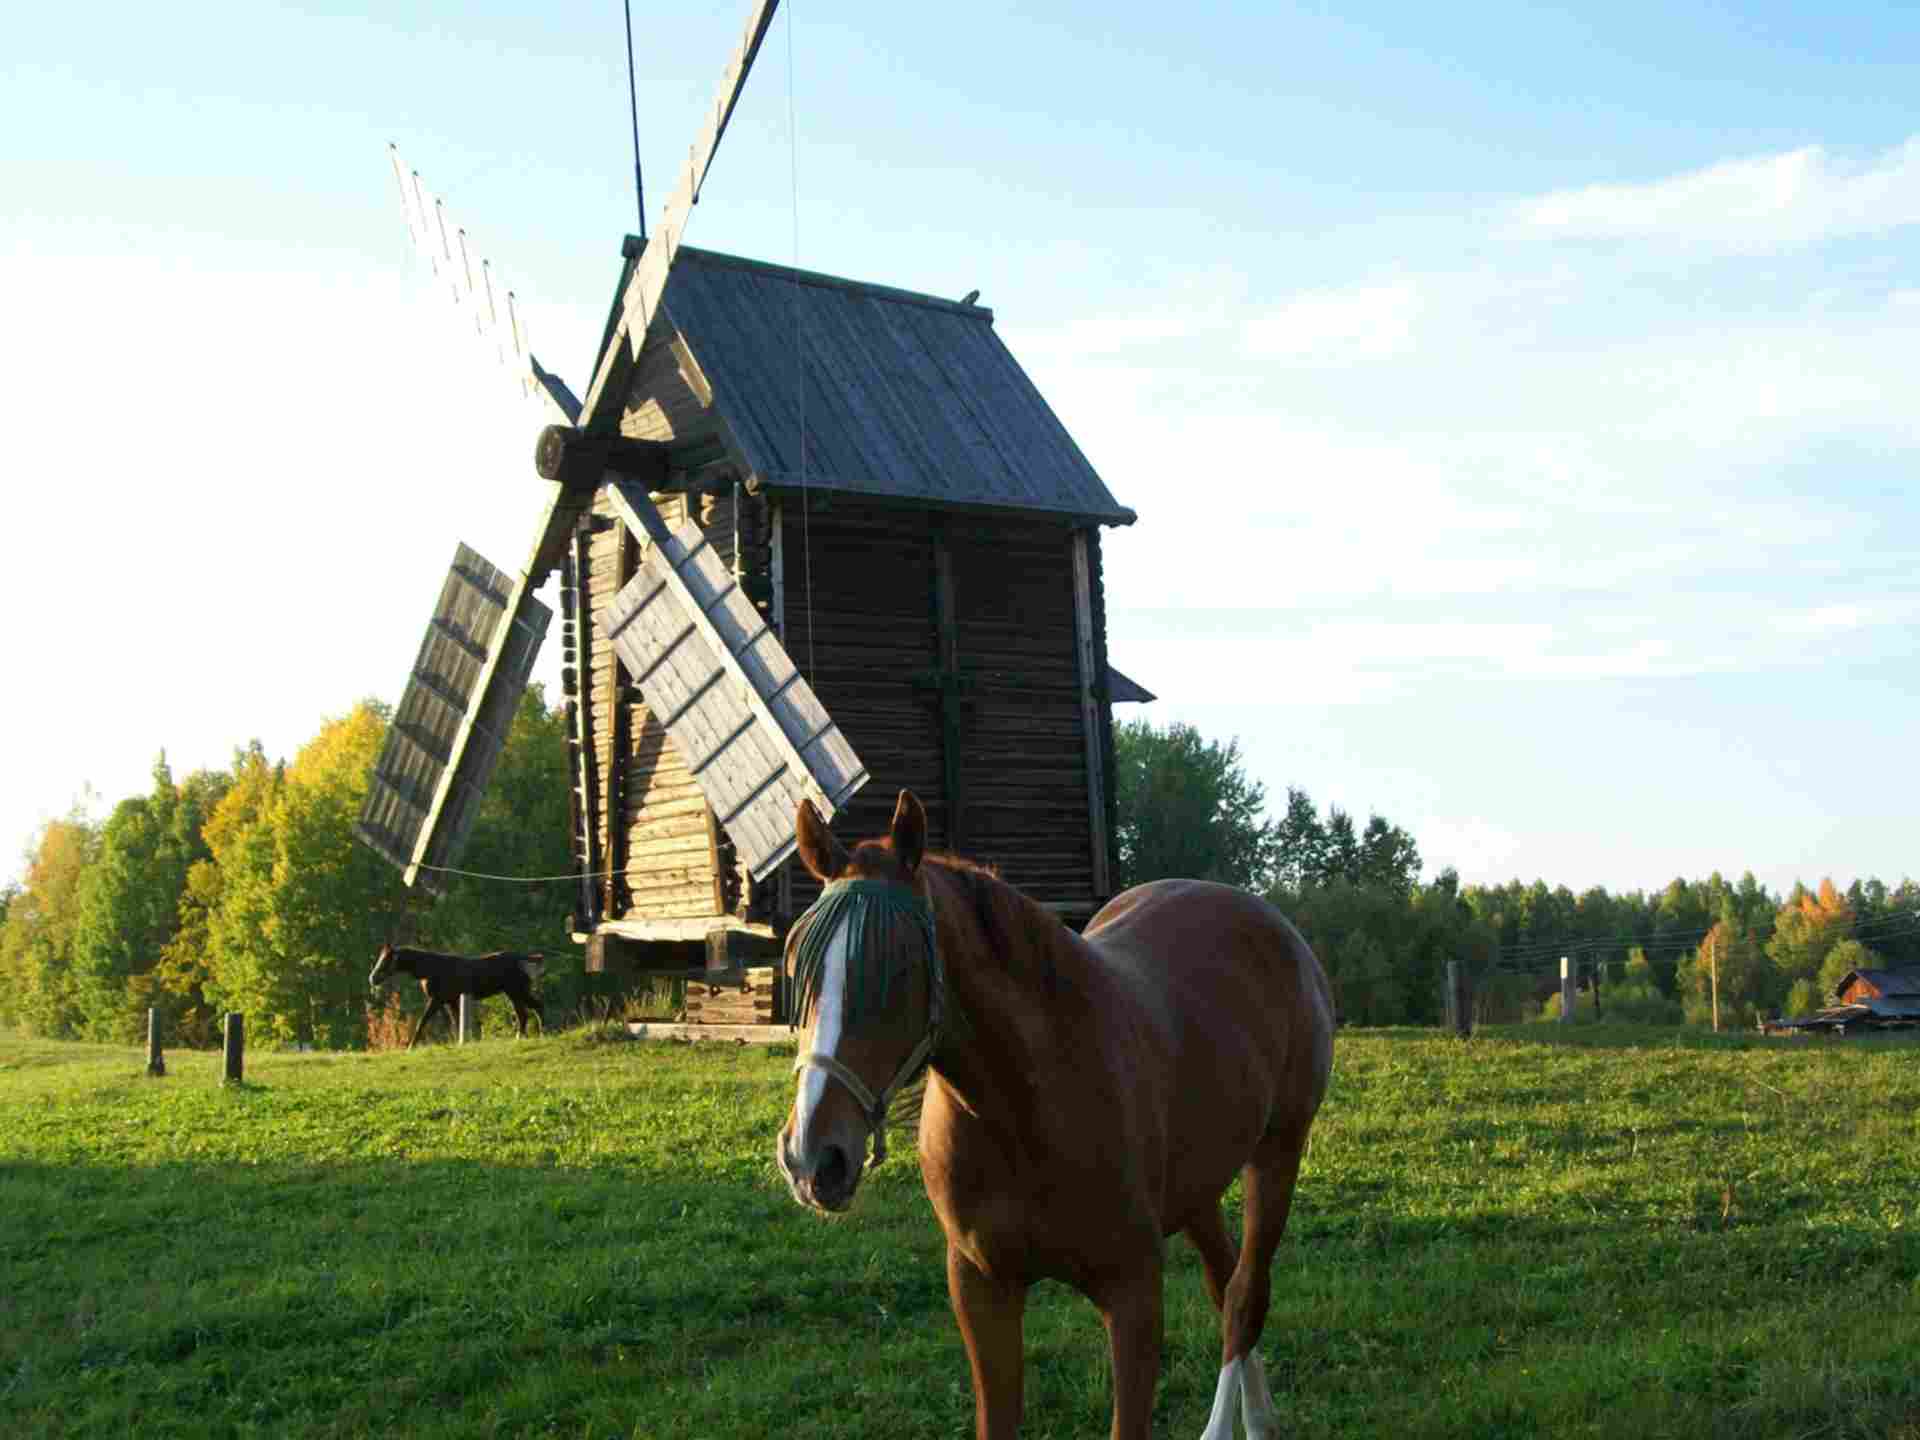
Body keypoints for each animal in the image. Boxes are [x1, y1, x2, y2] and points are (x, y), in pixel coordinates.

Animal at [368, 948, 545, 1052]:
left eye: (386, 960)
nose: (373, 978)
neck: (432, 969)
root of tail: (523, 959)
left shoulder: (437, 1000)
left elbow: (423, 1021)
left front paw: (411, 1046)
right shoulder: (451, 1001)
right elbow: (457, 1022)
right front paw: (463, 1042)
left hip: (517, 991)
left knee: (536, 1008)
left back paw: (540, 1033)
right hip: (514, 993)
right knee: (524, 1014)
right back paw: (522, 1037)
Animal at [768, 794, 1336, 1436]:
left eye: (899, 966)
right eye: (797, 962)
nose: (812, 1157)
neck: (1027, 1107)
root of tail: (1266, 918)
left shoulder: (1134, 1294)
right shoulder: (981, 1289)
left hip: (1278, 1153)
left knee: (1245, 1296)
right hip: (1199, 1187)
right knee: (1227, 1283)